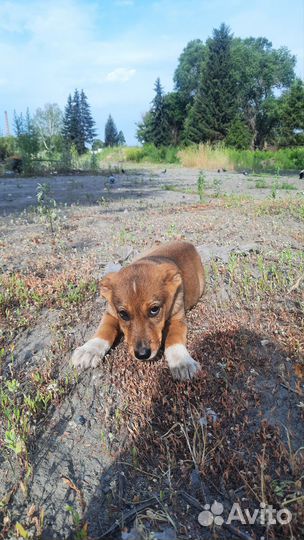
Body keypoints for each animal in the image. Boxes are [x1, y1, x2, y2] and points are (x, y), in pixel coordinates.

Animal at [71, 240, 204, 380]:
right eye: (123, 314)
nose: (142, 354)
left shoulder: (178, 320)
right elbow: (104, 329)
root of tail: (186, 243)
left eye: (154, 309)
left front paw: (181, 361)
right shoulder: (111, 313)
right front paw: (89, 350)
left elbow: (174, 338)